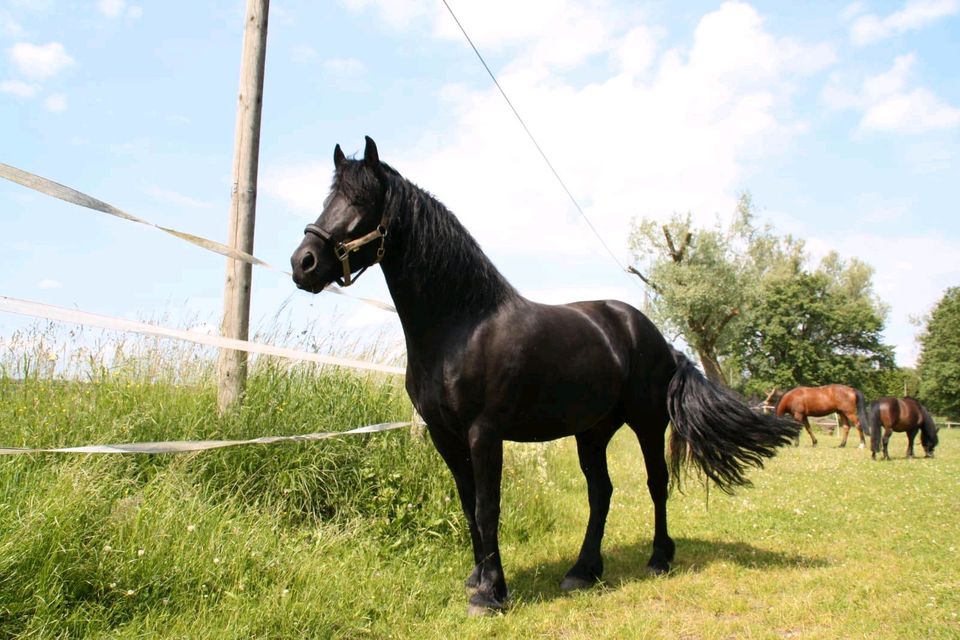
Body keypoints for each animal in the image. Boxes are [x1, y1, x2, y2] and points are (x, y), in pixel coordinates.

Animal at [288, 136, 800, 616]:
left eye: (362, 201)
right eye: (330, 197)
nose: (303, 263)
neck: (462, 324)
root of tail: (659, 340)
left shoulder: (484, 433)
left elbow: (487, 506)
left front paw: (491, 595)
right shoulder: (443, 434)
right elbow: (468, 504)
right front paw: (478, 579)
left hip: (648, 423)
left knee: (656, 483)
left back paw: (658, 558)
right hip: (593, 432)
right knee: (601, 493)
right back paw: (583, 571)